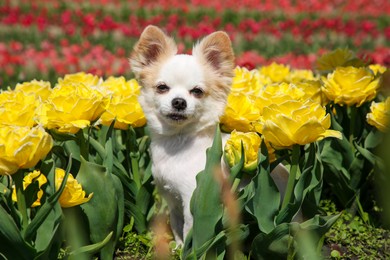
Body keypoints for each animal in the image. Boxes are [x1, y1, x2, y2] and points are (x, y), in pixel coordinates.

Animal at [129, 25, 288, 245]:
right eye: (162, 88)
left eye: (197, 91)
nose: (179, 102)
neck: (177, 144)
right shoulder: (171, 197)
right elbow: (177, 225)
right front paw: (178, 247)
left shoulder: (193, 198)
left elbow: (190, 228)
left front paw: (189, 249)